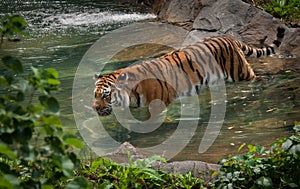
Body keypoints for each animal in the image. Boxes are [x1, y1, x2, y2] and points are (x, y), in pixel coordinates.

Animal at [92, 26, 284, 115]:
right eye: (95, 95)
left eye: (106, 95)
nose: (95, 108)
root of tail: (228, 36)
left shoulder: (159, 104)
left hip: (240, 72)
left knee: (255, 77)